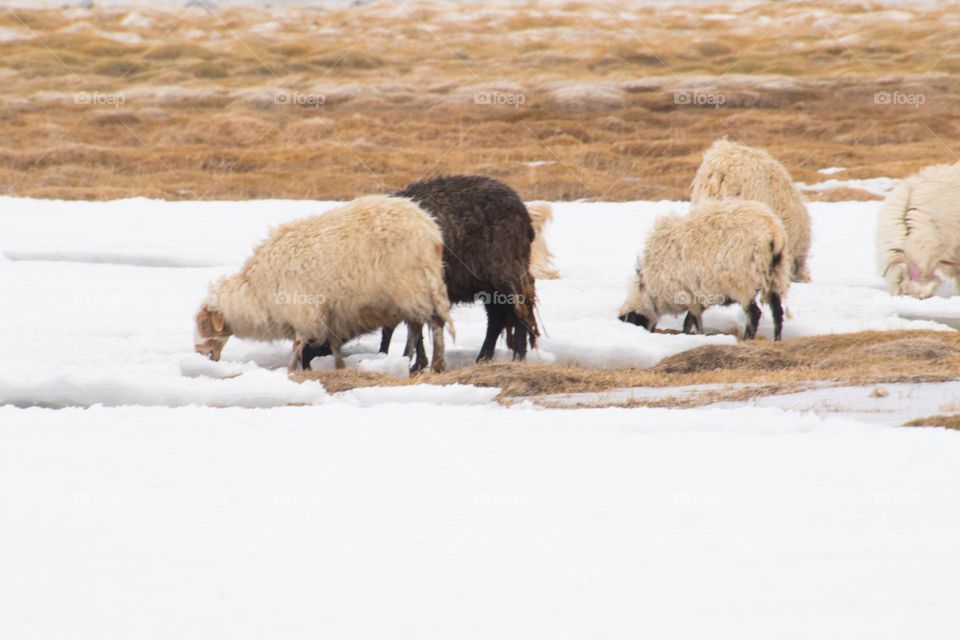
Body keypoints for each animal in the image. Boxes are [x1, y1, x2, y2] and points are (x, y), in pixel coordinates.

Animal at [194, 195, 455, 375]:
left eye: (205, 323)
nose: (200, 353)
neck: (255, 292)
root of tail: (430, 229)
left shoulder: (302, 310)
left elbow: (298, 344)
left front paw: (291, 369)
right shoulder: (330, 313)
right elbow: (333, 343)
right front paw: (338, 366)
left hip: (413, 287)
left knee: (433, 325)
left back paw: (435, 364)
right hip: (410, 293)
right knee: (416, 327)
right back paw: (407, 360)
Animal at [303, 175, 540, 367]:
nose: (305, 364)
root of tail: (522, 210)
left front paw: (411, 363)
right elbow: (398, 330)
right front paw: (399, 359)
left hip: (505, 274)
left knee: (517, 312)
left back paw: (517, 357)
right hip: (487, 283)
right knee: (498, 317)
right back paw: (483, 358)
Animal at [618, 199, 791, 341]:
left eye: (633, 321)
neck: (649, 288)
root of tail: (773, 232)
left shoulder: (688, 294)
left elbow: (694, 320)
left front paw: (697, 335)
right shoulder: (698, 296)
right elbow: (689, 320)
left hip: (742, 283)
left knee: (754, 314)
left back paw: (748, 339)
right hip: (776, 276)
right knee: (778, 312)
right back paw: (777, 340)